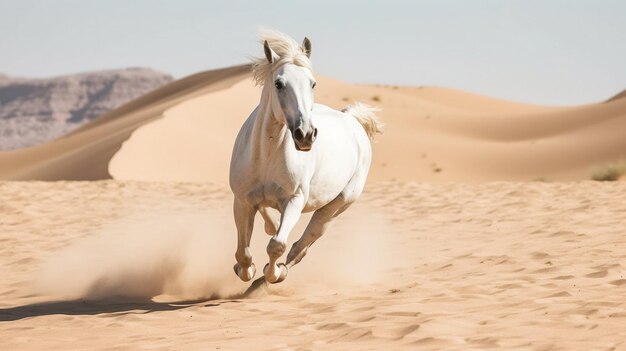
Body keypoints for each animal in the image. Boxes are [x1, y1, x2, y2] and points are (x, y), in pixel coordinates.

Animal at [227, 28, 378, 284]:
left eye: (312, 83)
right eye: (278, 84)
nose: (305, 135)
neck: (267, 156)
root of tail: (352, 119)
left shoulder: (294, 200)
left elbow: (277, 245)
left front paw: (272, 274)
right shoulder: (242, 200)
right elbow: (243, 252)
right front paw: (245, 269)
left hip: (335, 206)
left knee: (302, 245)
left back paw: (274, 276)